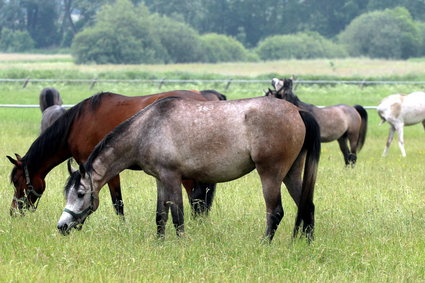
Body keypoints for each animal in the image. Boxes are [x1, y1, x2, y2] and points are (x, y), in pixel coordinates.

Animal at [6, 91, 225, 217]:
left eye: (17, 182)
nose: (13, 211)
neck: (78, 123)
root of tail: (208, 97)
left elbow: (117, 203)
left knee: (195, 200)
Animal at [58, 96, 320, 243]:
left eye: (80, 193)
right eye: (66, 194)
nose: (62, 226)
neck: (147, 129)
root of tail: (297, 111)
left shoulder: (172, 177)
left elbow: (177, 216)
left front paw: (181, 243)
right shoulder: (161, 180)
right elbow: (160, 216)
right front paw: (160, 243)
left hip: (271, 175)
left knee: (275, 212)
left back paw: (264, 244)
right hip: (291, 173)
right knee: (307, 206)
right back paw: (305, 244)